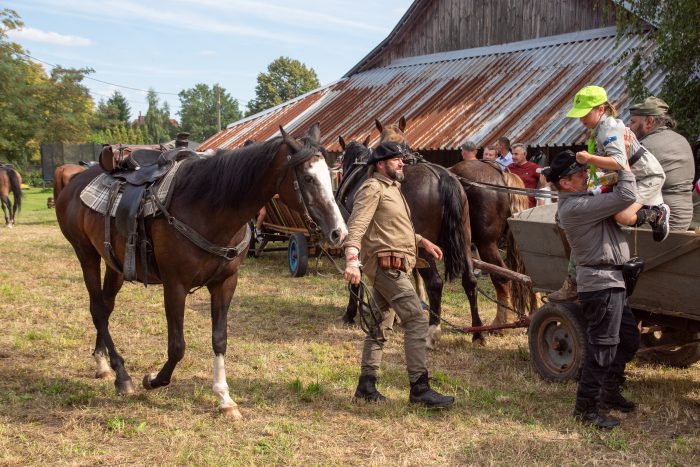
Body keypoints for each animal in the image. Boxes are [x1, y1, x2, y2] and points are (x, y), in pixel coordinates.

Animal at [57, 123, 348, 416]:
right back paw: (121, 374)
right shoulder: (175, 285)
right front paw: (153, 380)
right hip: (86, 254)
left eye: (331, 175)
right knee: (97, 308)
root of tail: (75, 181)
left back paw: (103, 364)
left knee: (105, 307)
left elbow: (219, 339)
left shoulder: (225, 283)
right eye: (308, 178)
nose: (339, 232)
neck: (206, 207)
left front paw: (224, 398)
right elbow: (177, 346)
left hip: (114, 264)